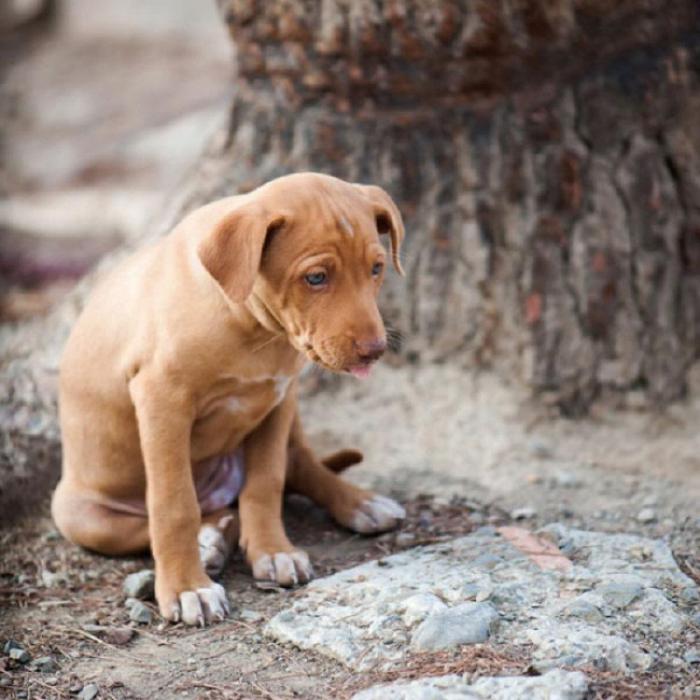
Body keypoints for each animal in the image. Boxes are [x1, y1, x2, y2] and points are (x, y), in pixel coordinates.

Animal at [52, 172, 404, 628]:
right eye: (315, 278)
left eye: (376, 269)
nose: (375, 351)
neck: (252, 327)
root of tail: (218, 493)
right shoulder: (162, 402)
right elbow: (173, 504)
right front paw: (188, 587)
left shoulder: (279, 399)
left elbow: (267, 481)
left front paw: (274, 552)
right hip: (80, 516)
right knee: (164, 520)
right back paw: (210, 538)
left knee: (299, 464)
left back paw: (361, 503)